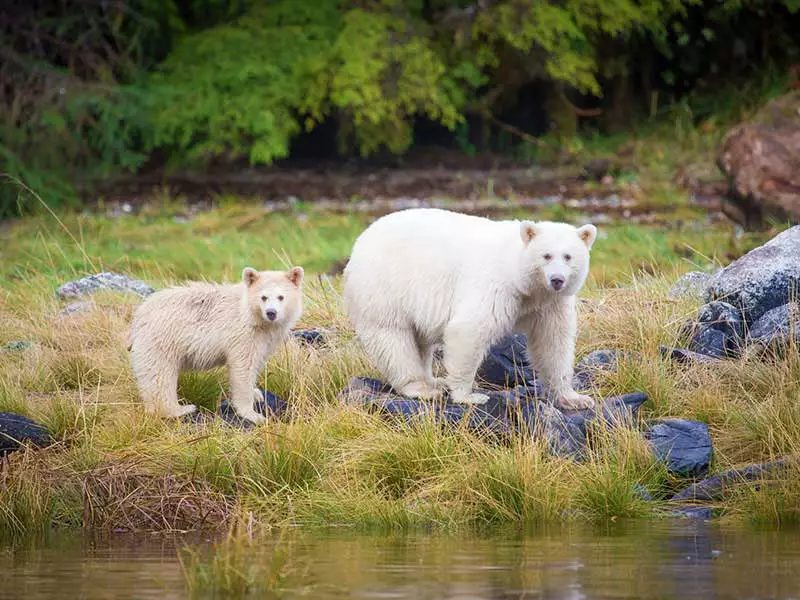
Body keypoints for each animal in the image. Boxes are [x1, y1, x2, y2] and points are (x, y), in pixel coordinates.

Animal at [128, 268, 304, 422]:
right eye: (264, 297)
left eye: (281, 297)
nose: (271, 313)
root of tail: (137, 317)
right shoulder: (243, 335)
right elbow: (243, 368)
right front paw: (253, 415)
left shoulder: (265, 339)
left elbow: (257, 362)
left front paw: (257, 393)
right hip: (161, 339)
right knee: (159, 376)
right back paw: (181, 409)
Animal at [340, 209, 596, 410]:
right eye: (546, 256)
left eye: (568, 256)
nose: (557, 280)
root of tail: (358, 244)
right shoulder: (497, 286)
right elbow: (469, 329)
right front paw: (469, 396)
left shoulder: (549, 304)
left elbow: (554, 342)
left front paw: (575, 398)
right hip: (385, 288)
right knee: (393, 338)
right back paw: (422, 388)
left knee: (419, 340)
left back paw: (434, 381)